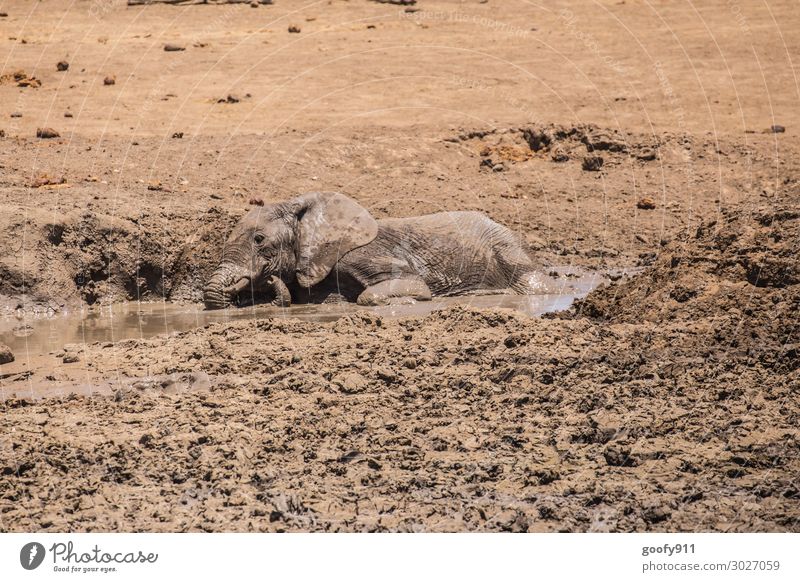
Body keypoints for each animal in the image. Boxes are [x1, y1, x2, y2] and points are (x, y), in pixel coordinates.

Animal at [203, 192, 540, 310]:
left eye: (259, 240)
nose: (267, 280)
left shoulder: (360, 254)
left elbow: (411, 285)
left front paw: (406, 301)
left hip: (508, 252)